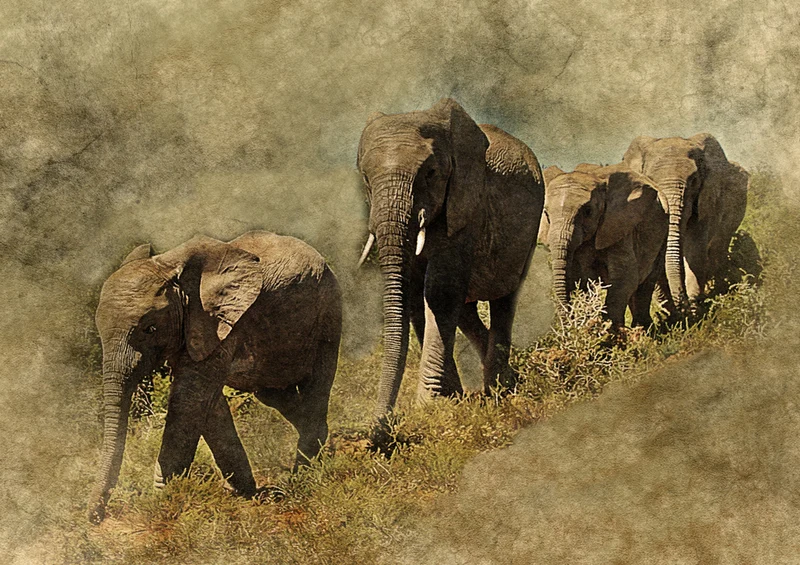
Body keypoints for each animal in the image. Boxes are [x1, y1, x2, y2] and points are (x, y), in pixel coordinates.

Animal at [87, 231, 342, 523]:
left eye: (150, 329)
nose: (94, 517)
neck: (171, 267)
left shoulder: (220, 324)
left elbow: (189, 401)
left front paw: (164, 503)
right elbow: (208, 408)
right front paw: (244, 493)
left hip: (328, 312)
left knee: (317, 384)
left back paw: (302, 478)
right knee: (275, 394)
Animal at [356, 97, 544, 424]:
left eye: (431, 173)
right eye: (366, 178)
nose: (381, 425)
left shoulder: (466, 205)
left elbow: (439, 291)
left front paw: (431, 403)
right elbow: (414, 296)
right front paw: (450, 398)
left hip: (527, 235)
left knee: (505, 299)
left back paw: (500, 388)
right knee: (466, 310)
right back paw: (510, 378)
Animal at [541, 163, 669, 327]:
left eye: (588, 211)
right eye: (546, 214)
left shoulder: (620, 223)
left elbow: (626, 276)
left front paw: (610, 331)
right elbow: (581, 277)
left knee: (645, 284)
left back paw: (642, 328)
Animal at [623, 134, 749, 311]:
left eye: (694, 181)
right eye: (650, 180)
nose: (682, 303)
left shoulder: (707, 199)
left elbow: (695, 249)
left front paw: (694, 307)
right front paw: (669, 310)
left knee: (718, 248)